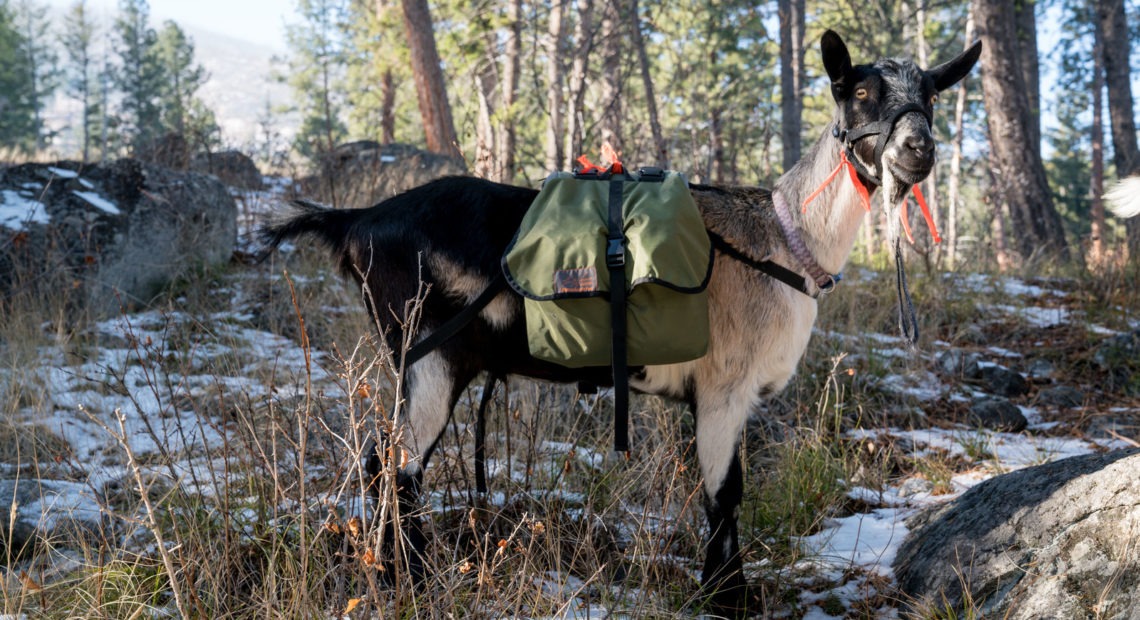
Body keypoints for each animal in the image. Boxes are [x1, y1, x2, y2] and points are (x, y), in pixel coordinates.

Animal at [258, 29, 980, 615]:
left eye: (931, 95)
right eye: (857, 90)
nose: (917, 149)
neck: (784, 240)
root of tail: (355, 221)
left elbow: (723, 493)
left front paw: (722, 592)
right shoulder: (725, 385)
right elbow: (726, 493)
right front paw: (729, 600)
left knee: (387, 463)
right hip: (429, 353)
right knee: (395, 465)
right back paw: (410, 580)